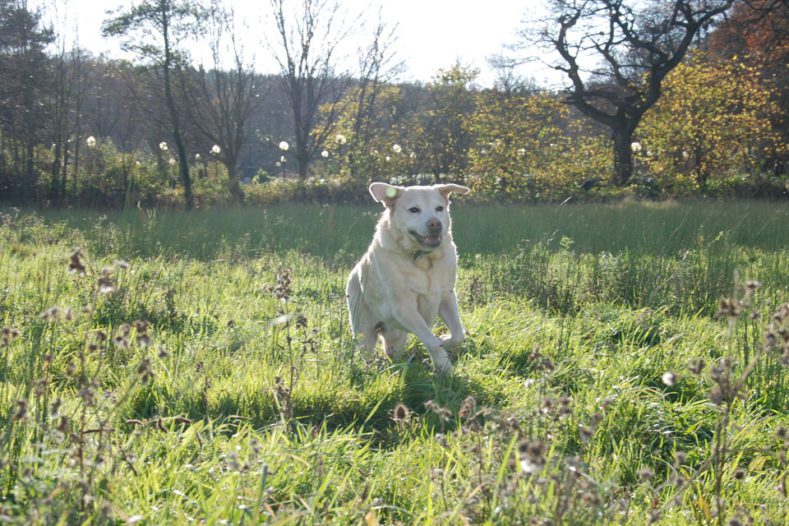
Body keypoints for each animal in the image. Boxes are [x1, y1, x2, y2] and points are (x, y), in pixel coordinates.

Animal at [344, 184, 468, 374]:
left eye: (439, 208)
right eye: (414, 210)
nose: (435, 224)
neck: (423, 259)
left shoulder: (447, 297)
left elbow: (458, 334)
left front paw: (445, 341)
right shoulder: (404, 308)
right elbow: (431, 340)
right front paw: (443, 364)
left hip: (397, 337)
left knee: (391, 352)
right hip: (364, 331)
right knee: (367, 351)